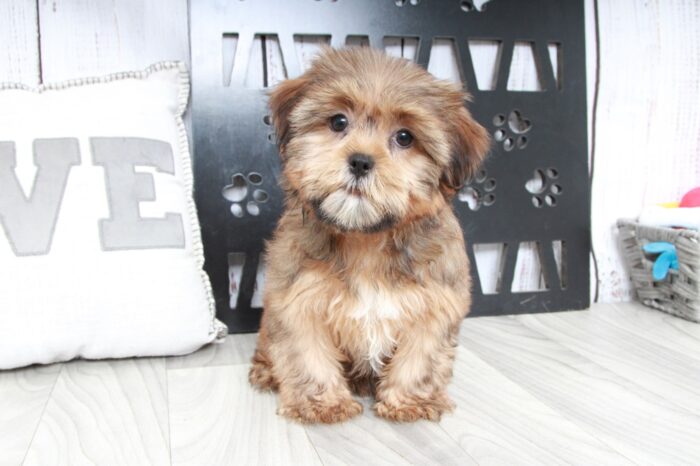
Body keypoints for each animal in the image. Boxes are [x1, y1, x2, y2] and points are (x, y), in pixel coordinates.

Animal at [250, 46, 486, 422]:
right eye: (338, 122)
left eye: (404, 137)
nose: (360, 161)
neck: (366, 238)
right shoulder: (298, 298)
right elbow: (307, 353)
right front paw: (322, 404)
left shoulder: (435, 301)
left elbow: (420, 356)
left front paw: (409, 401)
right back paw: (267, 371)